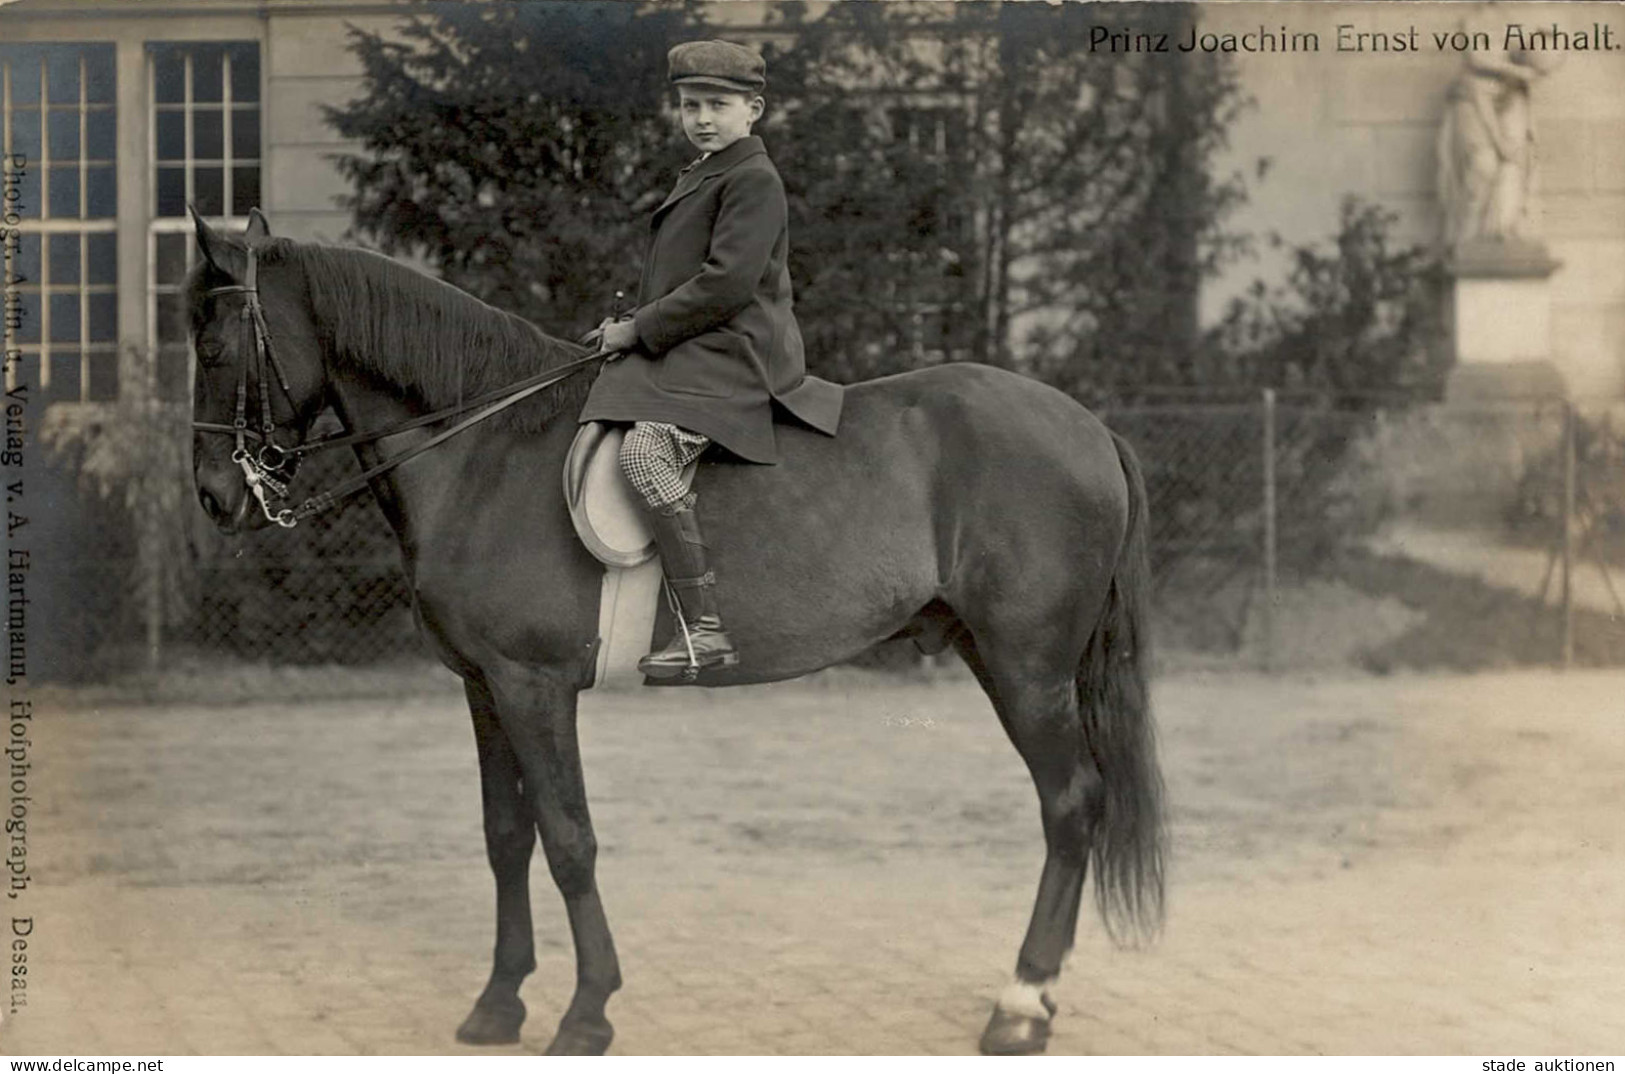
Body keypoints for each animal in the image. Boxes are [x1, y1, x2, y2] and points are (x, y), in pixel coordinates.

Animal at [184, 212, 1163, 1052]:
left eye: (213, 345)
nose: (215, 497)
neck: (484, 450)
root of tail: (1089, 426)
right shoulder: (484, 688)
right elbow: (506, 838)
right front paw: (499, 1004)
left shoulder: (534, 686)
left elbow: (568, 839)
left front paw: (585, 1013)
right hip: (994, 656)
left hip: (1027, 668)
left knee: (1069, 804)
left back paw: (1021, 1006)